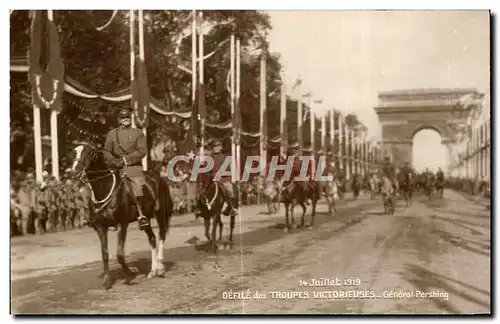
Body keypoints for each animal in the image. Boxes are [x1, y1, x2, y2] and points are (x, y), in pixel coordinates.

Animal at [69, 142, 173, 288]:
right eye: (74, 152)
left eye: (89, 153)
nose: (74, 173)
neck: (104, 188)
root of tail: (158, 178)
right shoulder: (100, 227)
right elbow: (105, 253)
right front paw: (107, 280)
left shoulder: (121, 225)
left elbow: (119, 254)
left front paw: (130, 273)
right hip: (146, 218)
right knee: (152, 238)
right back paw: (152, 271)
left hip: (160, 213)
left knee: (162, 235)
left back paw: (160, 268)